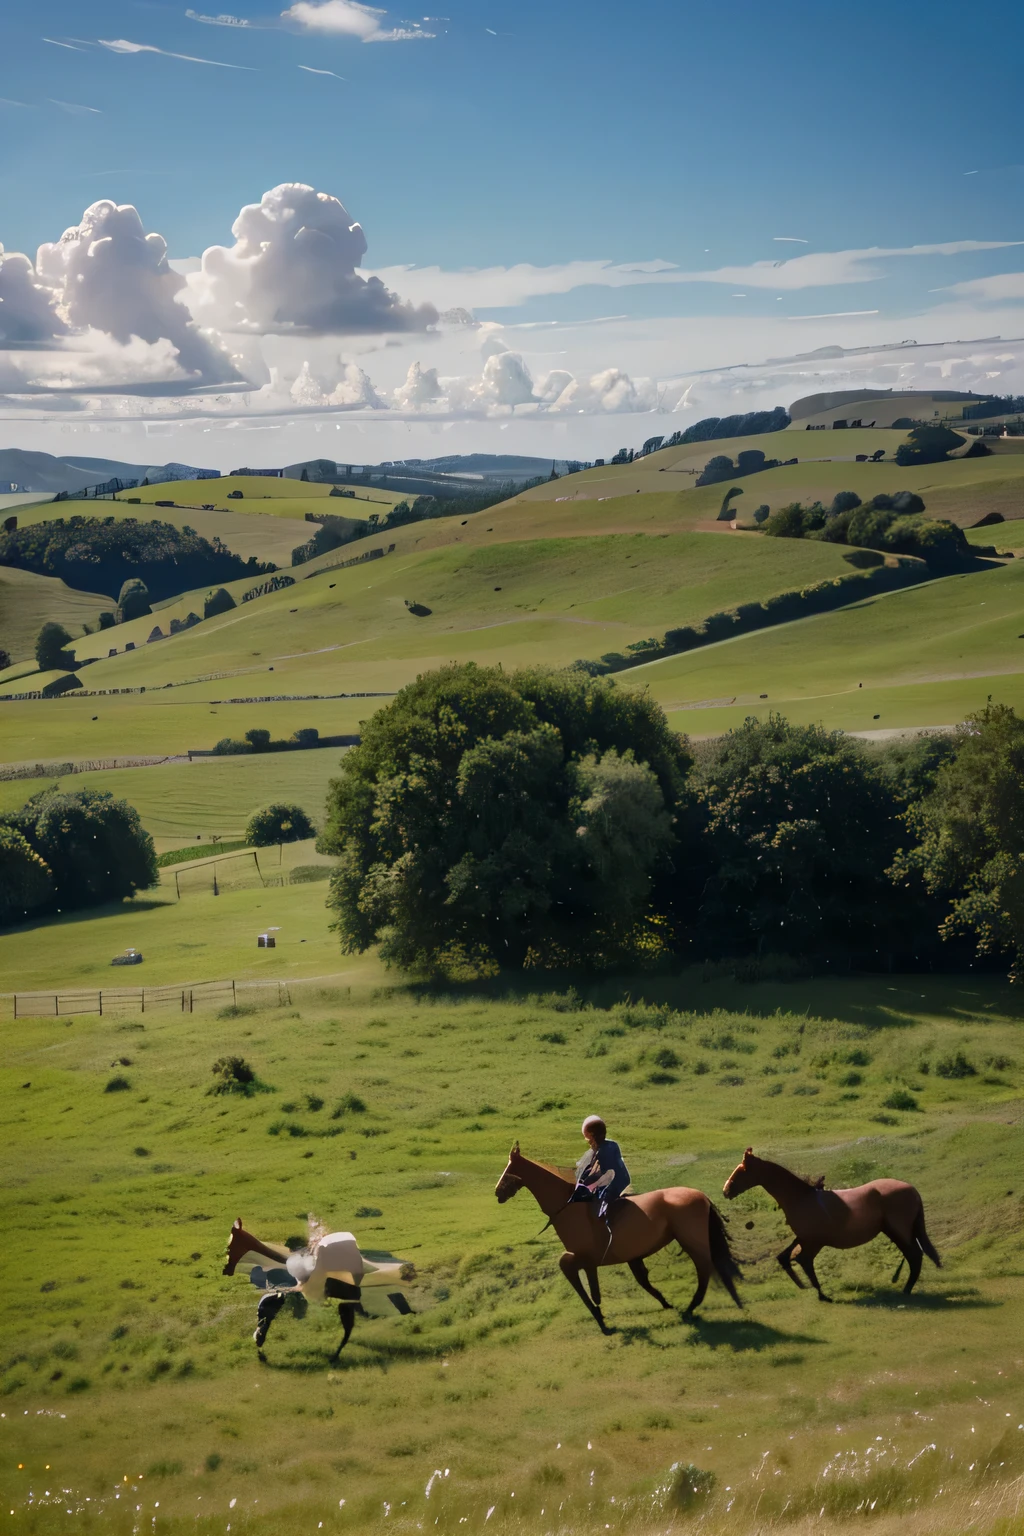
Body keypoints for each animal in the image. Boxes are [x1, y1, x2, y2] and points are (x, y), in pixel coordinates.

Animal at [494, 1142, 739, 1333]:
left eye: (509, 1169)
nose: (498, 1192)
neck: (568, 1207)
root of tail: (702, 1196)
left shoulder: (584, 1258)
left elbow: (581, 1281)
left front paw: (601, 1320)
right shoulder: (611, 1259)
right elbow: (627, 1283)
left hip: (692, 1242)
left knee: (705, 1269)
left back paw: (693, 1307)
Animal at [724, 1148, 939, 1302]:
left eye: (742, 1171)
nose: (726, 1190)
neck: (801, 1199)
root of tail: (912, 1190)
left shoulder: (813, 1242)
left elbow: (803, 1261)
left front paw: (822, 1295)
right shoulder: (804, 1238)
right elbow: (785, 1257)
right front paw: (804, 1286)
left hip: (899, 1232)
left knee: (914, 1255)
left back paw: (907, 1289)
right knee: (914, 1256)